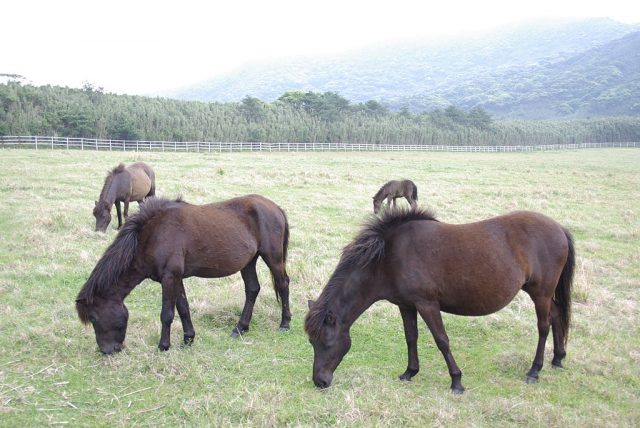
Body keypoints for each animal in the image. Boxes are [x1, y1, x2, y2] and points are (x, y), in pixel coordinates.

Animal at [76, 195, 292, 354]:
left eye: (93, 318)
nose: (107, 351)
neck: (152, 235)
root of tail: (275, 208)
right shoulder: (175, 278)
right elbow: (183, 308)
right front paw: (188, 339)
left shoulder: (169, 277)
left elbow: (167, 314)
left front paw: (163, 346)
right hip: (248, 262)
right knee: (252, 289)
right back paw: (240, 328)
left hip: (272, 258)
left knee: (283, 284)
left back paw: (285, 323)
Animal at [304, 208, 576, 394]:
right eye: (311, 343)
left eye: (326, 343)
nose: (320, 381)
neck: (387, 257)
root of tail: (559, 228)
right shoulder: (406, 305)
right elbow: (411, 337)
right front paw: (409, 372)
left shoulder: (427, 305)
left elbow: (441, 340)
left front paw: (456, 381)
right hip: (544, 294)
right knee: (556, 316)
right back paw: (558, 358)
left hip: (540, 293)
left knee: (543, 326)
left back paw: (534, 370)